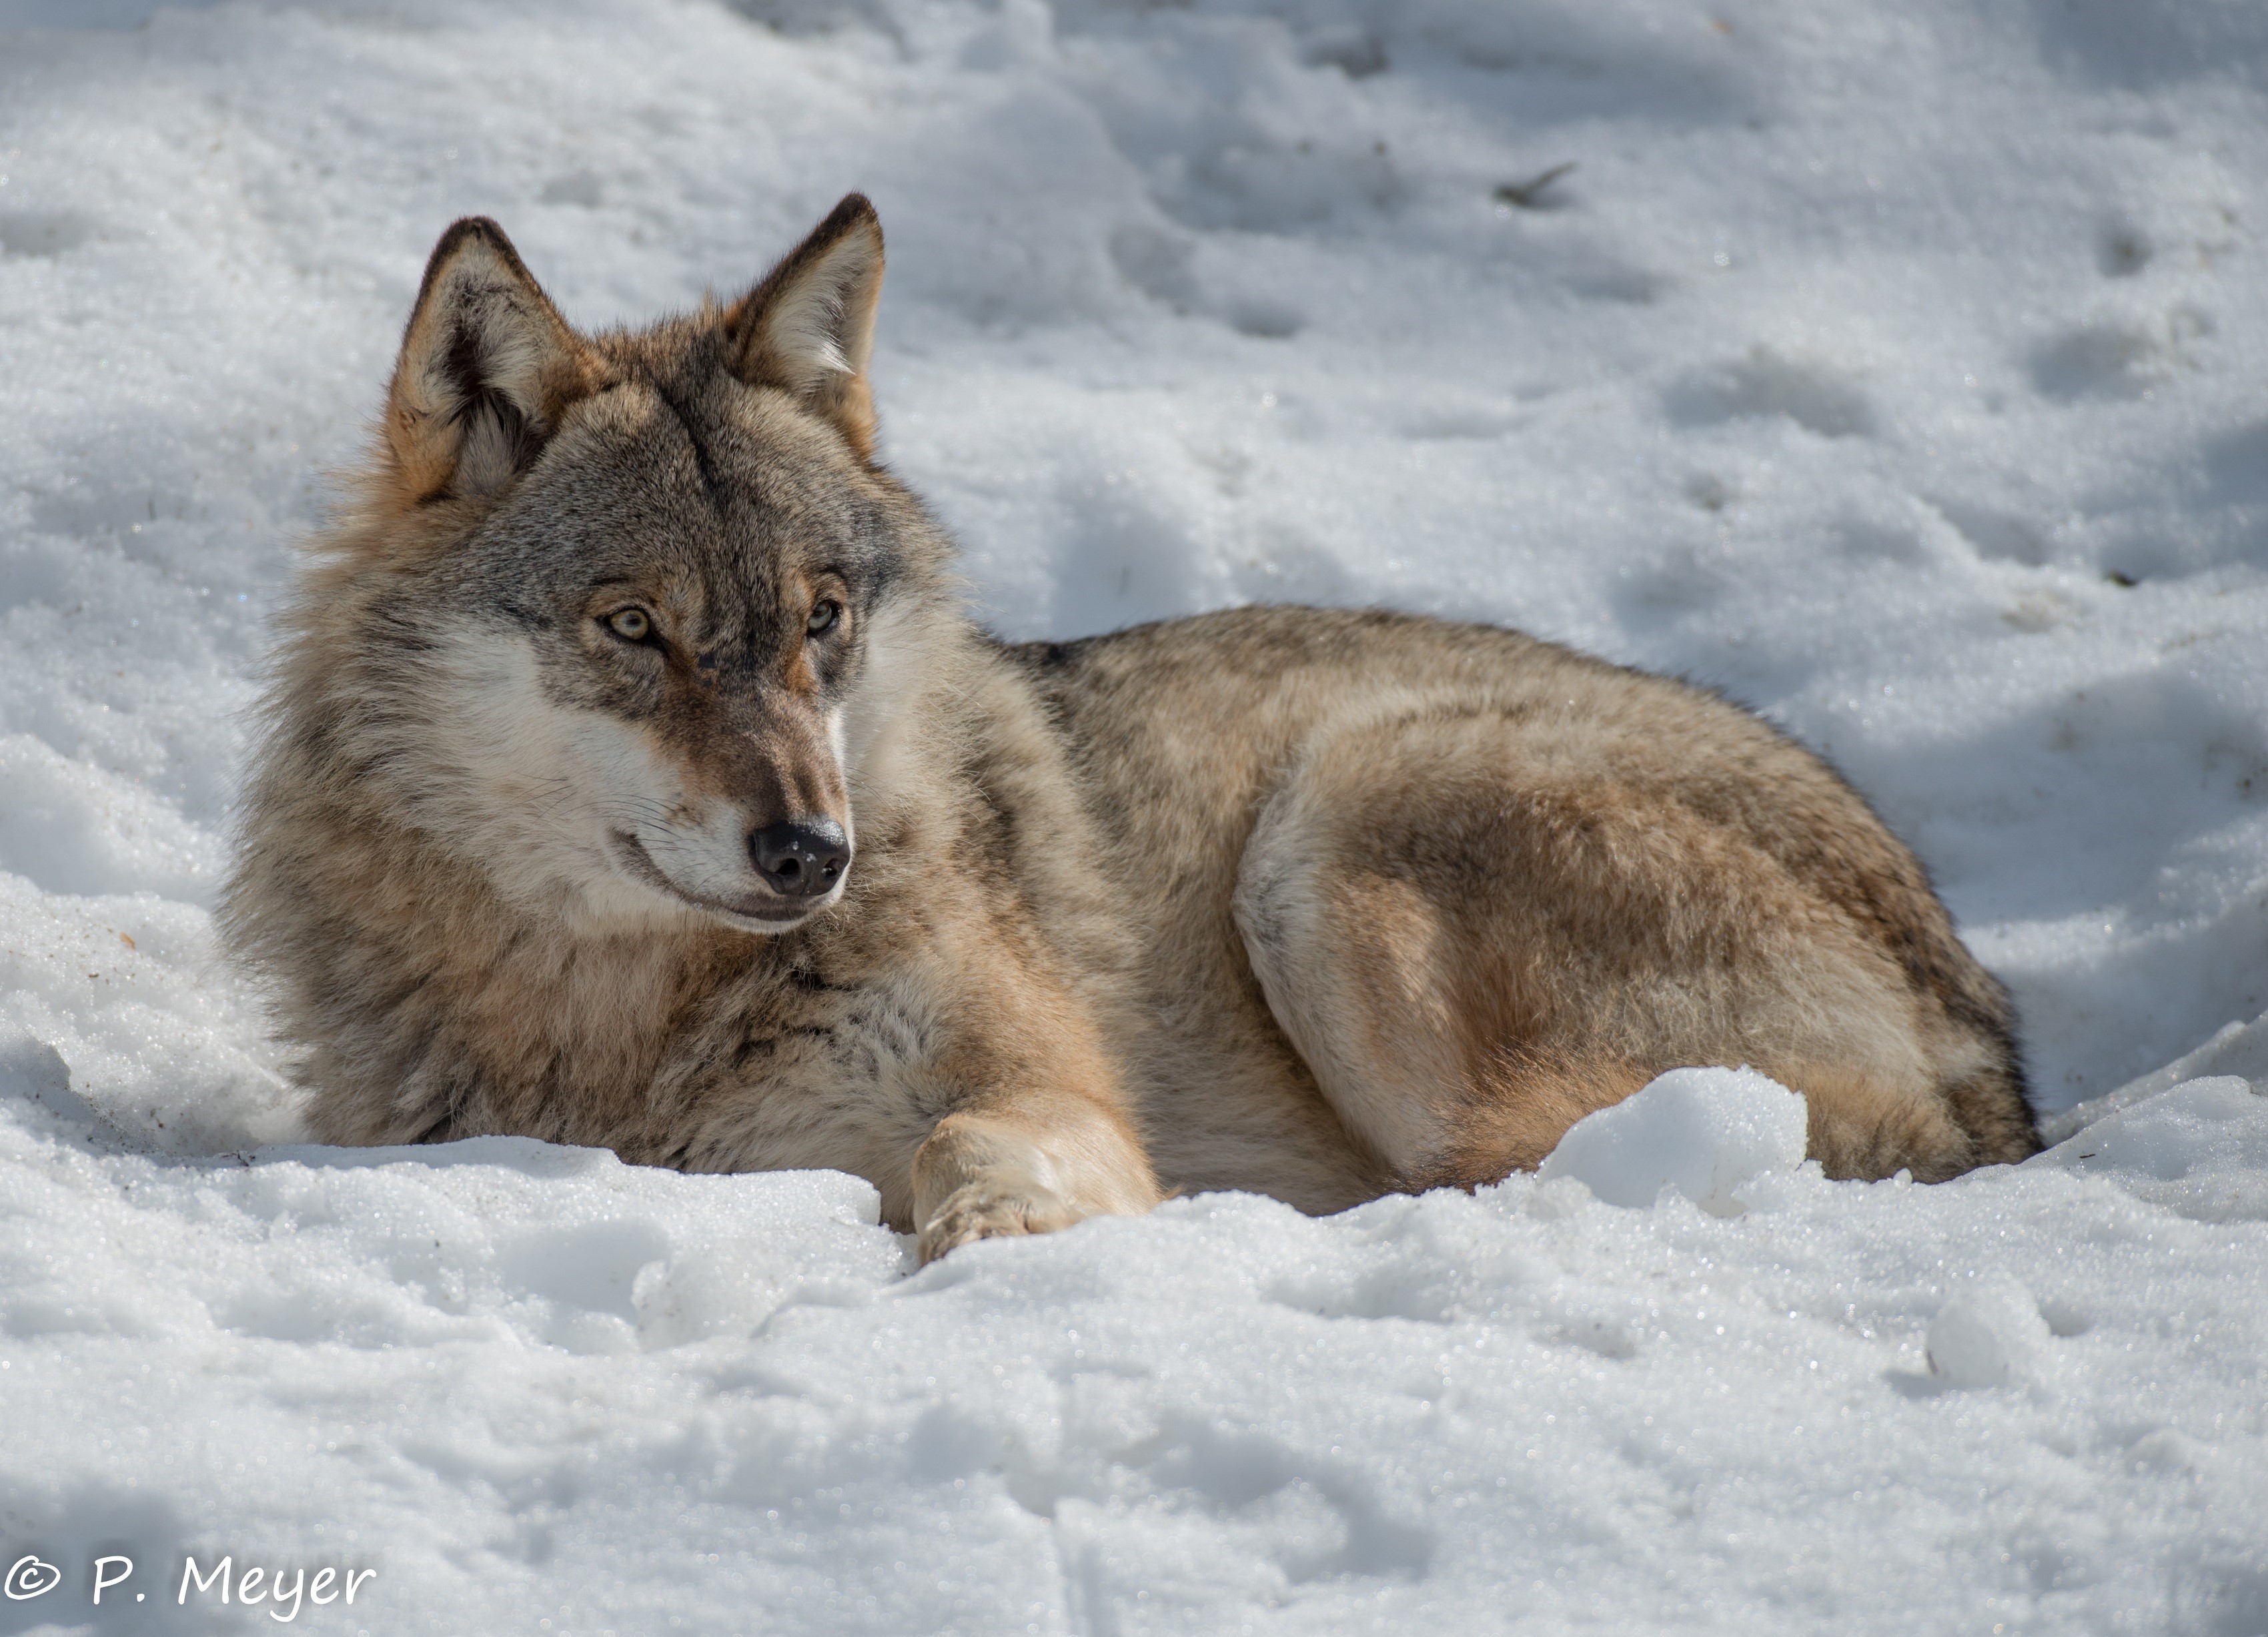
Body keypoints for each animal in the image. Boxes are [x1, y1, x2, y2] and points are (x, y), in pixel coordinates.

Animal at [224, 194, 2039, 1261]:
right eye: (633, 629)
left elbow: (981, 1133)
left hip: (1333, 825)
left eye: (820, 620)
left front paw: (995, 1241)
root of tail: (1993, 1063)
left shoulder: (1045, 1082)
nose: (813, 851)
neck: (629, 1021)